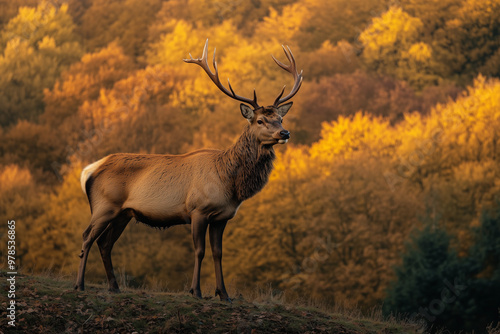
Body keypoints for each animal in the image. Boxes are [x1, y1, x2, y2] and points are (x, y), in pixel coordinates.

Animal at [73, 39, 300, 300]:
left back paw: (114, 286)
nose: (285, 133)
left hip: (123, 213)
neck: (230, 183)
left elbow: (218, 253)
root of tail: (89, 170)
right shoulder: (197, 210)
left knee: (105, 243)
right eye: (260, 120)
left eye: (280, 119)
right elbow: (199, 251)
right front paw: (196, 290)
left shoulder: (222, 217)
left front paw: (223, 294)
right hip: (104, 205)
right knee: (87, 237)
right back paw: (79, 285)